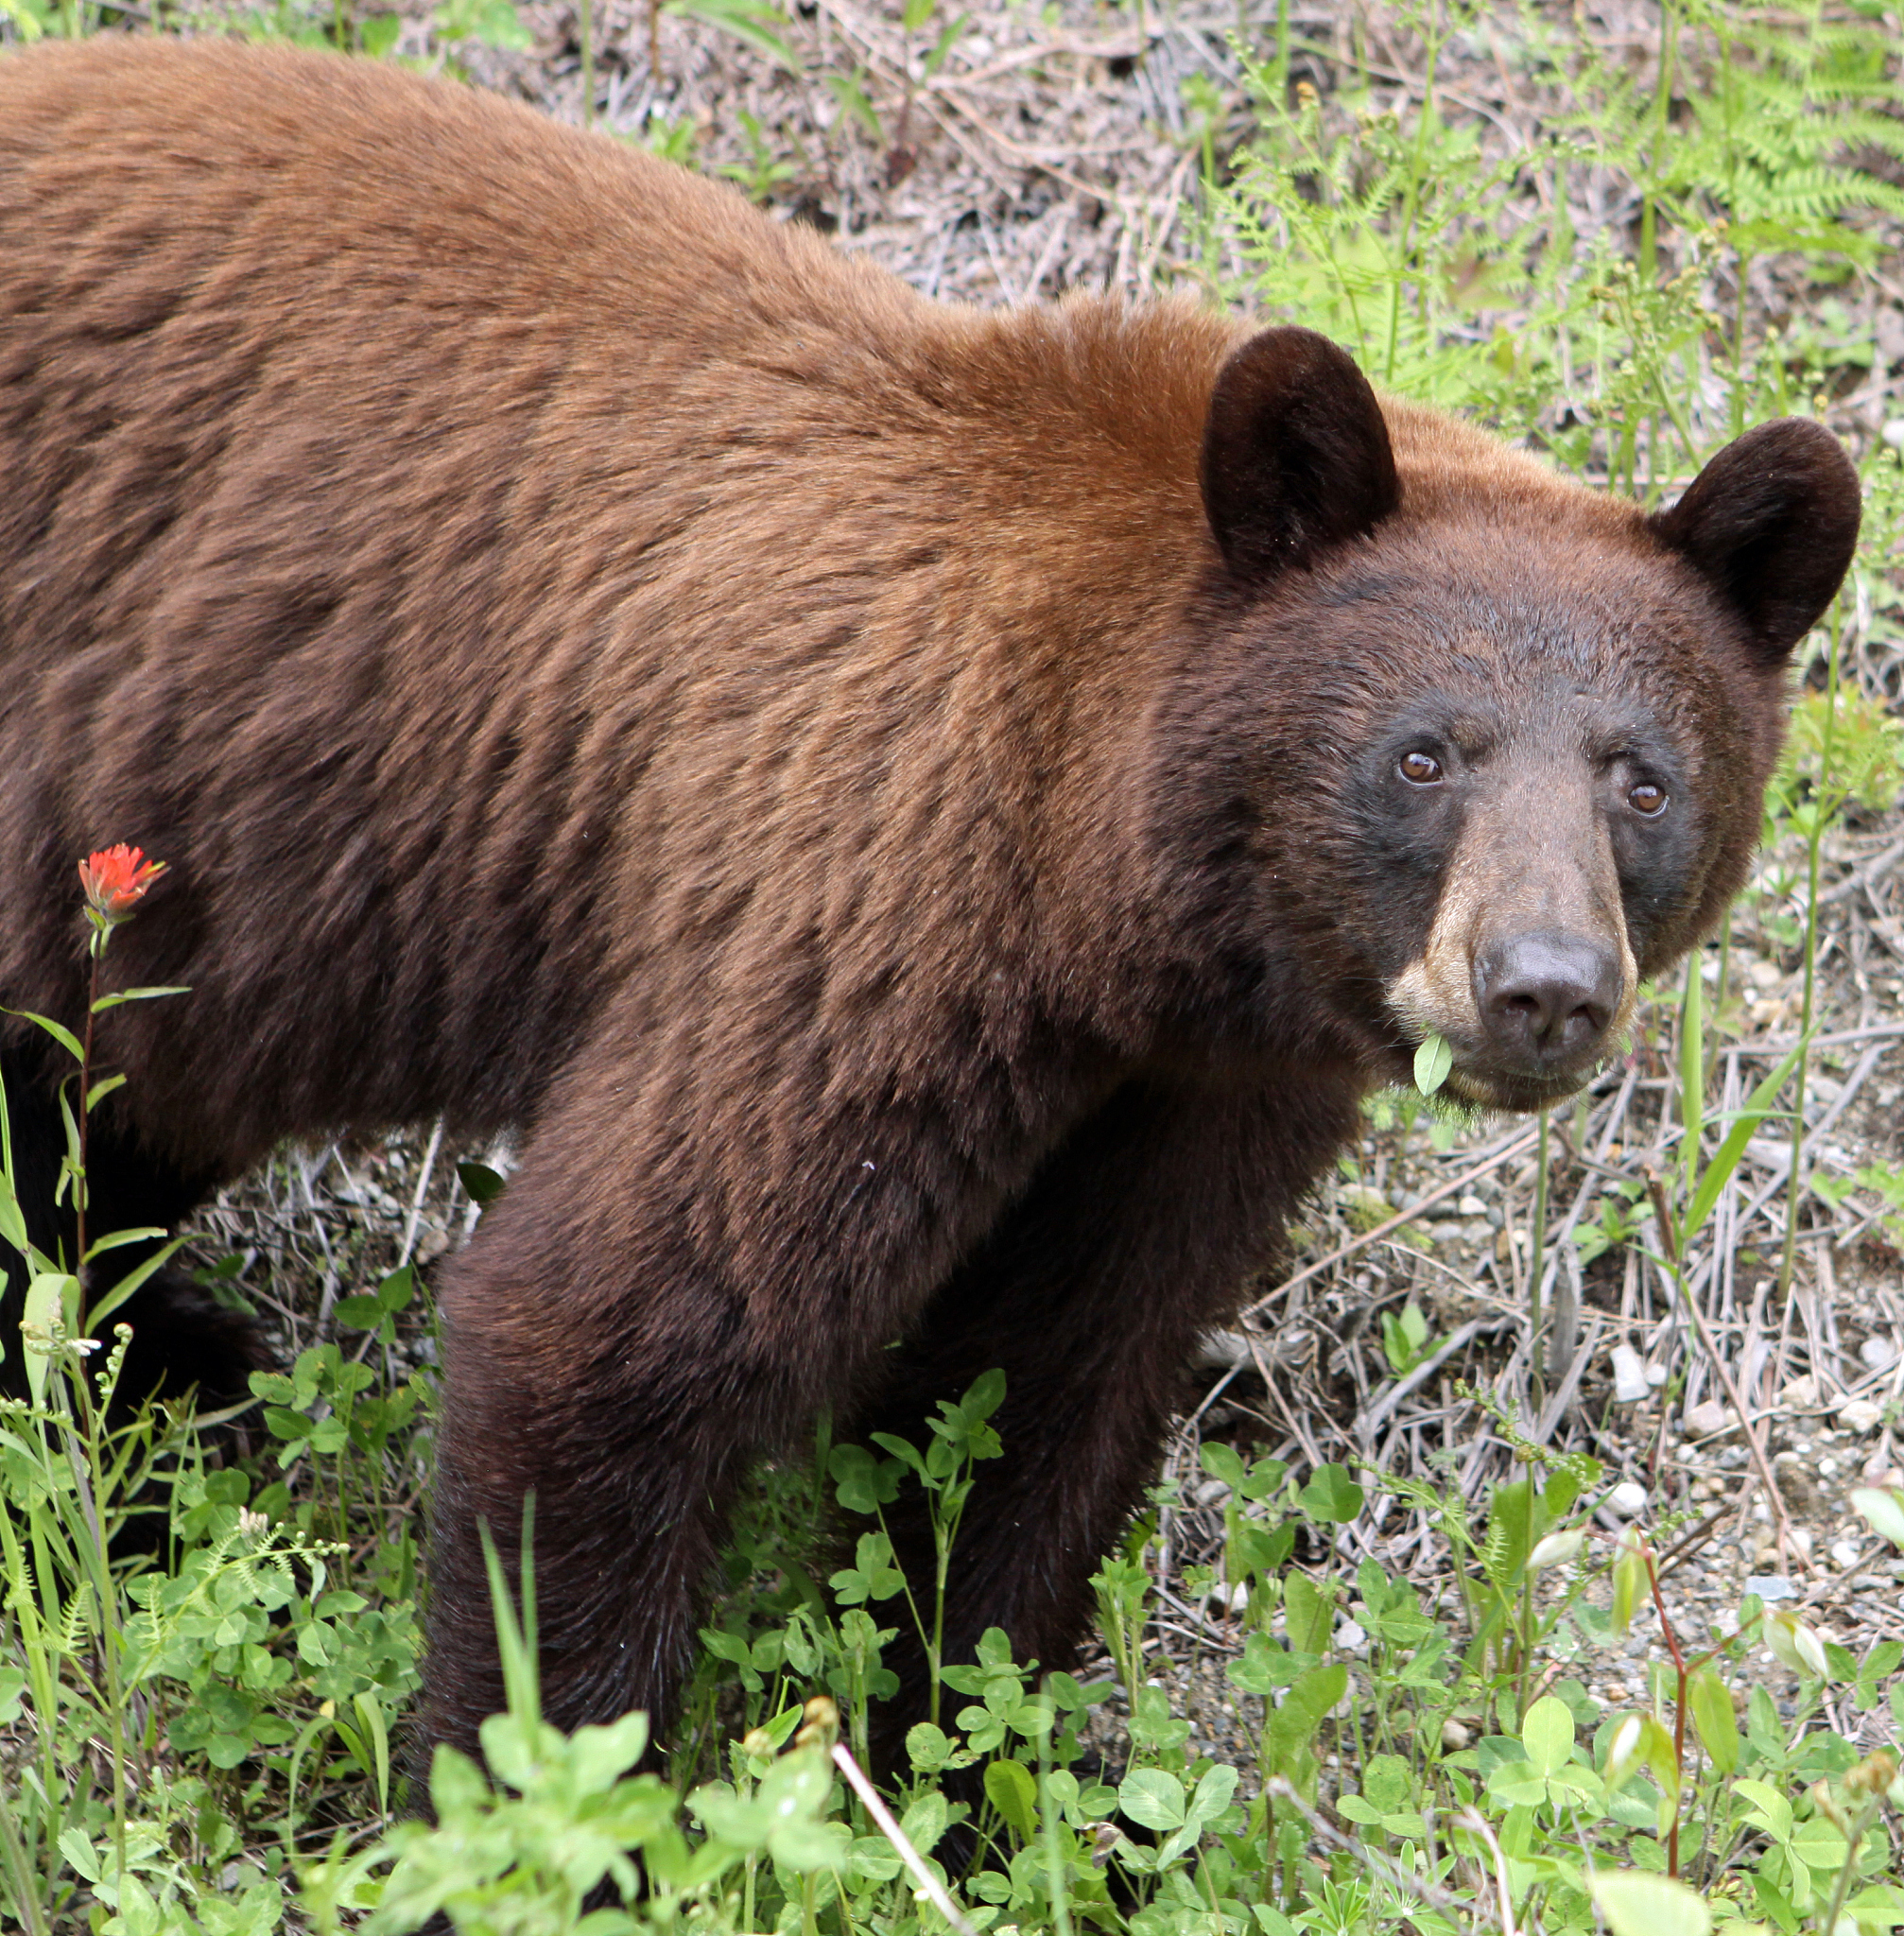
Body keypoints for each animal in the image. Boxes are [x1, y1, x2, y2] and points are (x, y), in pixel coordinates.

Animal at [0, 36, 1861, 1779]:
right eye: (1422, 753)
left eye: (1639, 780)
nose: (1540, 985)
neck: (1111, 893)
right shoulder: (860, 904)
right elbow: (610, 1321)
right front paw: (547, 1806)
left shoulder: (1202, 1085)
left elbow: (1043, 1398)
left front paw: (966, 1781)